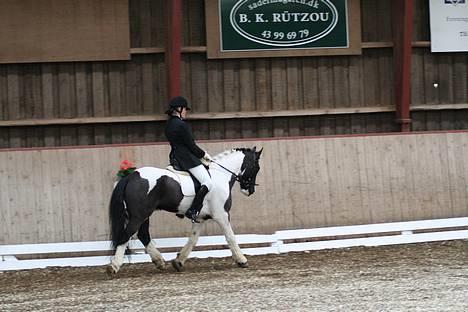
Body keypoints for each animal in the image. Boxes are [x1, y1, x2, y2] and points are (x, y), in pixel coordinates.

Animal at [107, 146, 264, 272]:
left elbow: (193, 239)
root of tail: (131, 176)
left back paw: (159, 262)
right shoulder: (222, 215)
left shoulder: (200, 218)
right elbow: (230, 236)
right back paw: (114, 266)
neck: (220, 175)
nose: (250, 191)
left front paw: (179, 262)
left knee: (143, 235)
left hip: (144, 215)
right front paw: (242, 260)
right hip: (140, 214)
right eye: (256, 167)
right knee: (127, 234)